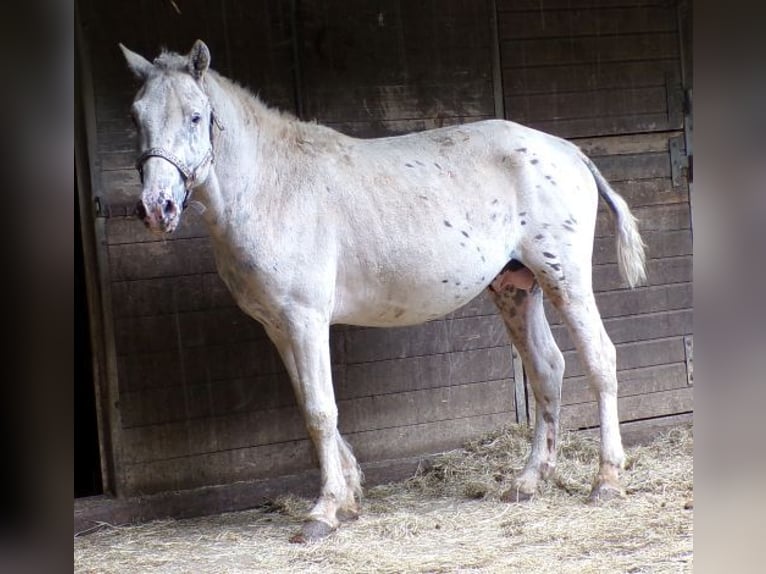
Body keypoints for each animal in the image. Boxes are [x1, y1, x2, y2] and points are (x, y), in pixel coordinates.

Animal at [120, 40, 646, 540]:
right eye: (136, 116)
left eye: (196, 116)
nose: (157, 208)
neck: (273, 186)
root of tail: (569, 151)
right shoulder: (279, 327)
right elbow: (310, 407)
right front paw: (349, 499)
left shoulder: (305, 319)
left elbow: (321, 410)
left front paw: (323, 513)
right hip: (516, 287)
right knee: (546, 369)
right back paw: (528, 481)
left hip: (565, 280)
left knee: (600, 359)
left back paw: (606, 481)